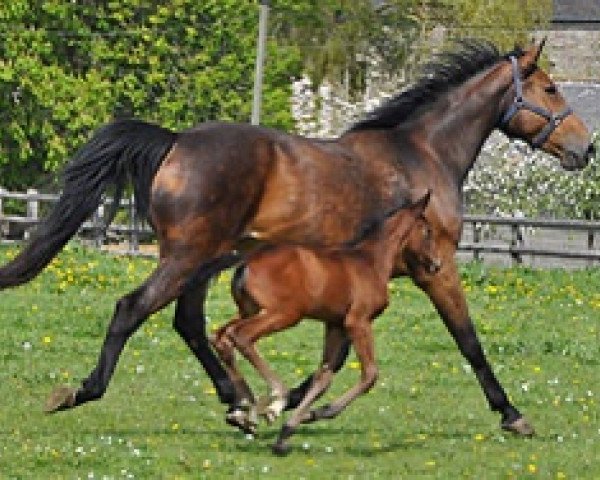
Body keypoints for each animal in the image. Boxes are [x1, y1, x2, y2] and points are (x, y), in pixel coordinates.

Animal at [200, 189, 436, 452]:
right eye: (428, 231)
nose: (436, 264)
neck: (371, 262)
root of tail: (246, 264)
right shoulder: (358, 321)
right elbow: (370, 374)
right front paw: (315, 414)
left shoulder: (335, 325)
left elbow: (323, 378)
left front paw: (289, 429)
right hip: (284, 314)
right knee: (241, 336)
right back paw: (275, 399)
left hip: (250, 310)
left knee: (220, 336)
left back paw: (244, 410)